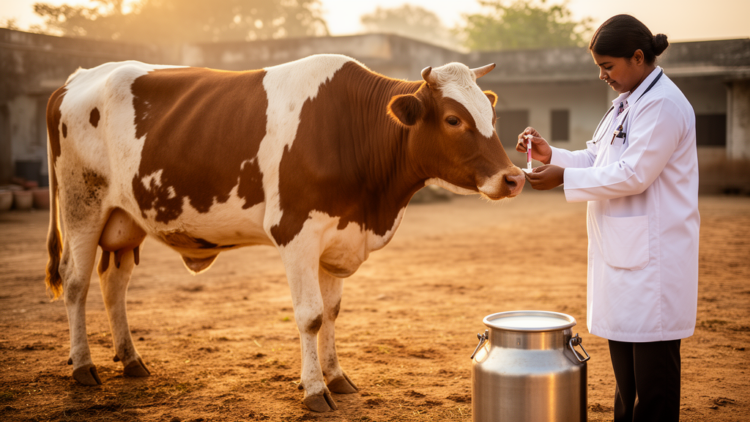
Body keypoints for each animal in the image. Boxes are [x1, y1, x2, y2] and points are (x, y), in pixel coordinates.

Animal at [44, 54, 524, 412]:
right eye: (453, 119)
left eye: (491, 113)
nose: (513, 178)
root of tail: (77, 78)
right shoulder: (297, 233)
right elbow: (310, 315)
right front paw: (314, 390)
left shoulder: (338, 235)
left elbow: (331, 312)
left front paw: (337, 376)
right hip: (82, 205)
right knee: (76, 282)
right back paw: (82, 367)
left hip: (124, 218)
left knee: (114, 284)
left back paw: (131, 359)